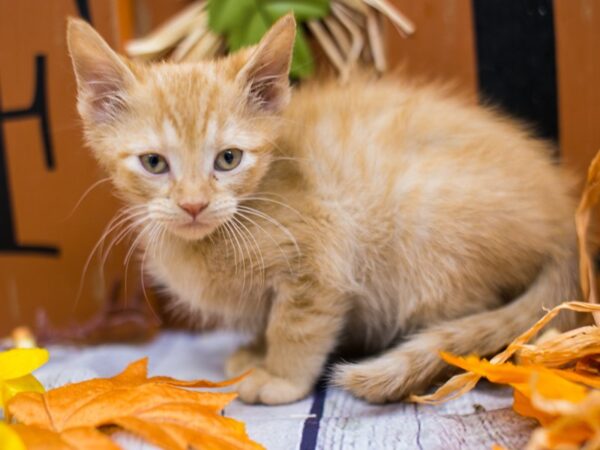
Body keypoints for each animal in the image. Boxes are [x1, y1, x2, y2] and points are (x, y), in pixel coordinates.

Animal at [68, 16, 584, 404]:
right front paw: (254, 352)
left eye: (228, 159)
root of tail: (566, 224)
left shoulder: (321, 255)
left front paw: (280, 376)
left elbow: (296, 325)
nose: (193, 204)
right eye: (154, 163)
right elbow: (268, 321)